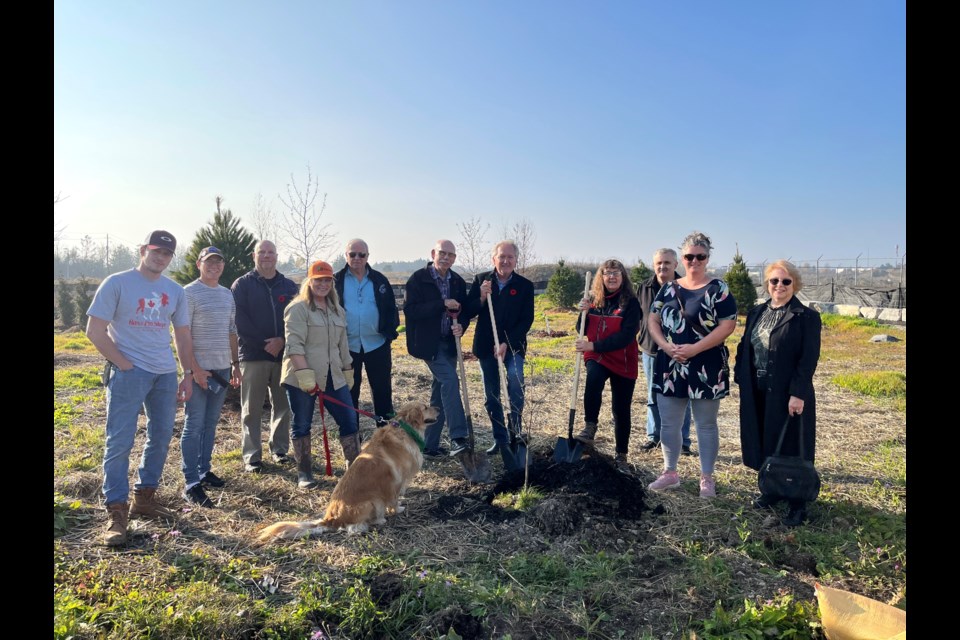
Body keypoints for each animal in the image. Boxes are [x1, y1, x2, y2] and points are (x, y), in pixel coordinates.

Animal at [255, 400, 436, 540]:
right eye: (426, 407)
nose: (439, 408)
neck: (405, 428)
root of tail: (331, 519)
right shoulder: (395, 483)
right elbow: (394, 501)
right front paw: (398, 509)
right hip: (374, 502)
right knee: (354, 527)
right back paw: (379, 520)